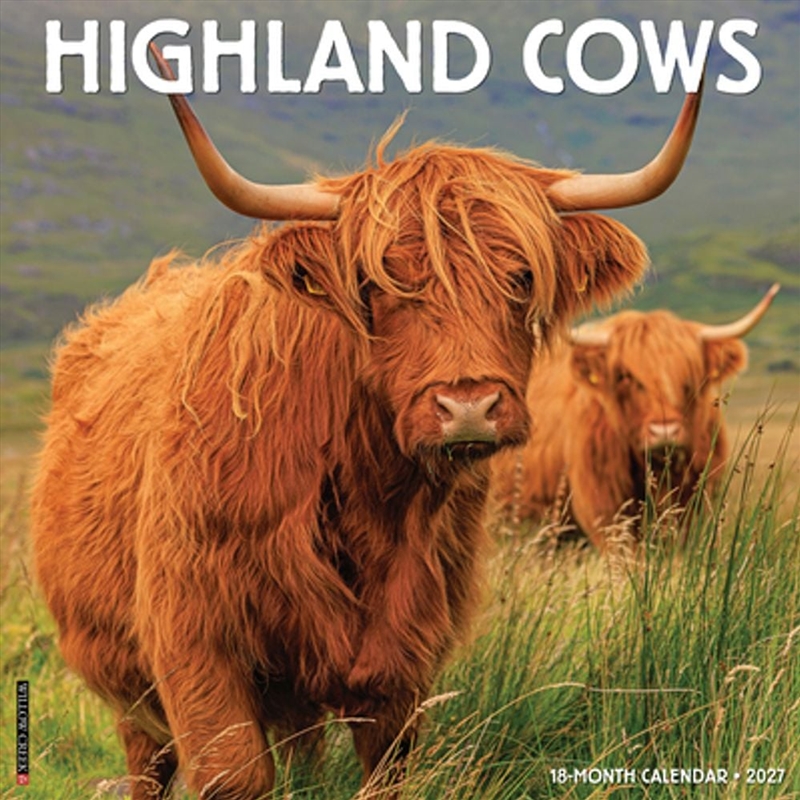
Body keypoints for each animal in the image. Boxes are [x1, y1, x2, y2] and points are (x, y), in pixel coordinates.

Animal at [29, 44, 702, 800]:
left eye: (521, 276)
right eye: (379, 284)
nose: (468, 406)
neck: (366, 491)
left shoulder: (407, 651)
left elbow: (383, 768)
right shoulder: (192, 633)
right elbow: (234, 772)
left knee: (302, 747)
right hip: (125, 678)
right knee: (149, 760)